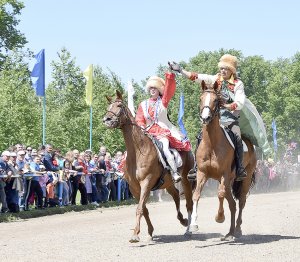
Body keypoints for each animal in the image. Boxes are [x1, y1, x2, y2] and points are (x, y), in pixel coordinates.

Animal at [103, 90, 195, 244]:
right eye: (108, 105)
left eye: (119, 105)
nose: (107, 119)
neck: (138, 151)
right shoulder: (134, 187)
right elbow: (144, 209)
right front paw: (149, 232)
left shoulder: (146, 182)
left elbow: (140, 208)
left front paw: (135, 235)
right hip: (168, 183)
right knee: (176, 195)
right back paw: (182, 220)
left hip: (186, 180)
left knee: (189, 203)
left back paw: (188, 229)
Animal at [189, 81, 256, 241]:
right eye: (201, 99)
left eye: (215, 100)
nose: (205, 118)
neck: (212, 144)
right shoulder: (202, 173)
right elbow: (196, 195)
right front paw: (193, 224)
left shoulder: (224, 174)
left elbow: (219, 194)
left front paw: (219, 217)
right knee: (232, 204)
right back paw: (230, 233)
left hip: (244, 178)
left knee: (241, 202)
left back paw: (237, 230)